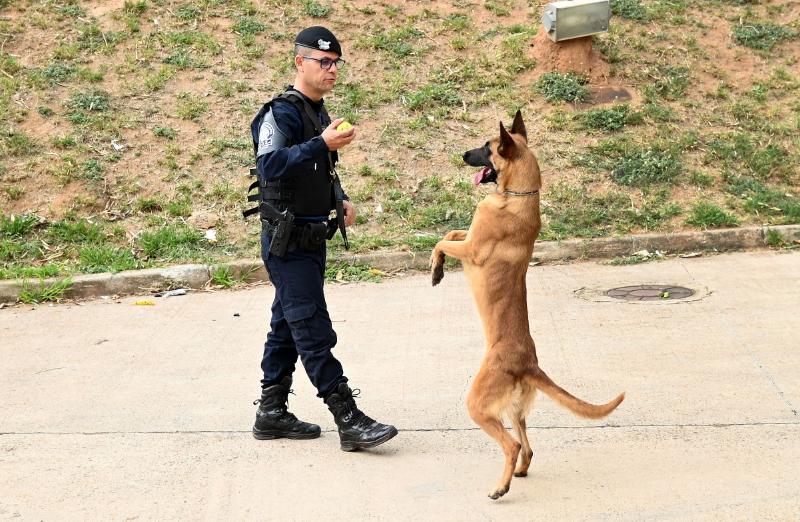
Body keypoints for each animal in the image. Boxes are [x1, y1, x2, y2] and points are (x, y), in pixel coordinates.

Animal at [432, 111, 624, 498]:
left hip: (479, 405)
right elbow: (450, 233)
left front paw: (435, 267)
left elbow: (441, 241)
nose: (462, 154)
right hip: (513, 409)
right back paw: (518, 472)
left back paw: (501, 487)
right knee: (529, 446)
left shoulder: (472, 249)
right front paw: (439, 267)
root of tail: (528, 364)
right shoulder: (469, 238)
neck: (517, 197)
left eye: (487, 147)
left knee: (513, 444)